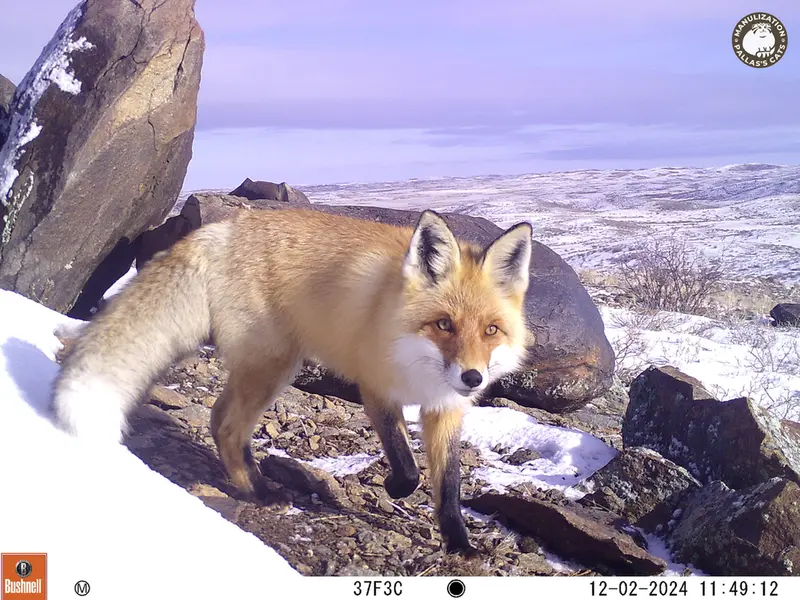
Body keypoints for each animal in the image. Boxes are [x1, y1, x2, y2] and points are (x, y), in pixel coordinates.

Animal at [51, 208, 533, 556]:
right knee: (228, 426)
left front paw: (459, 544)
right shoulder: (374, 387)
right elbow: (408, 464)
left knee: (217, 419)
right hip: (275, 365)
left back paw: (249, 481)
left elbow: (449, 485)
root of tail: (220, 230)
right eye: (443, 324)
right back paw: (260, 493)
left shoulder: (446, 409)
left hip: (265, 368)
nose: (472, 377)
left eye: (491, 331)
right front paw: (396, 487)